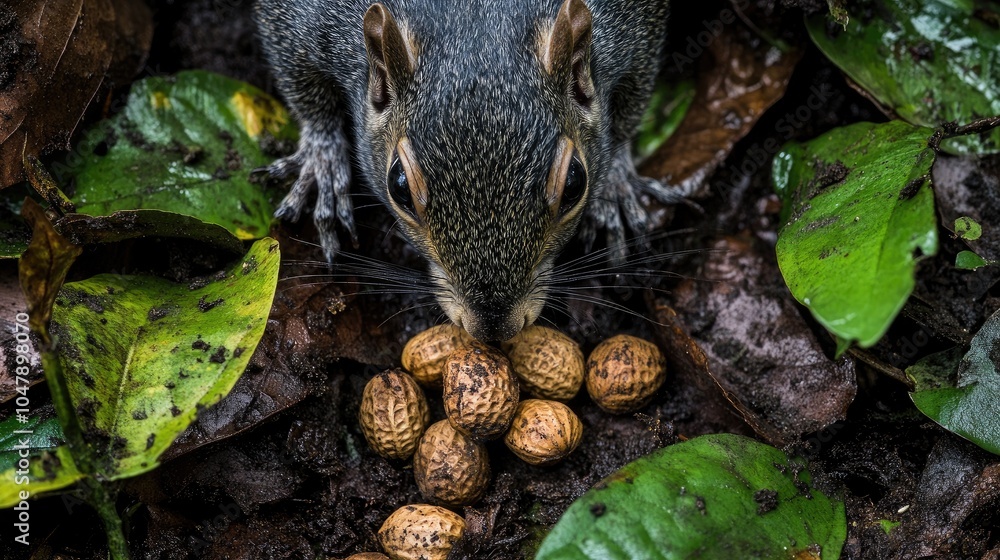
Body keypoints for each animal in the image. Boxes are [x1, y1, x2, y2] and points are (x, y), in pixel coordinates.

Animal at [255, 0, 685, 342]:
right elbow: (303, 85)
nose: (493, 330)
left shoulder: (634, 26)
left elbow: (631, 103)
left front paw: (616, 185)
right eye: (399, 187)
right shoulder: (303, 20)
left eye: (575, 183)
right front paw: (322, 163)